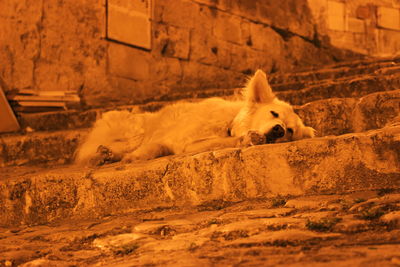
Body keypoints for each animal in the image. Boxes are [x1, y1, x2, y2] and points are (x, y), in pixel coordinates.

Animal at [76, 69, 316, 165]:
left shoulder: (188, 145)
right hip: (134, 131)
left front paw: (249, 139)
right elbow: (153, 147)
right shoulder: (178, 140)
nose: (280, 130)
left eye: (291, 131)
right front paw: (134, 157)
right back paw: (104, 155)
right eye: (274, 114)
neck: (228, 124)